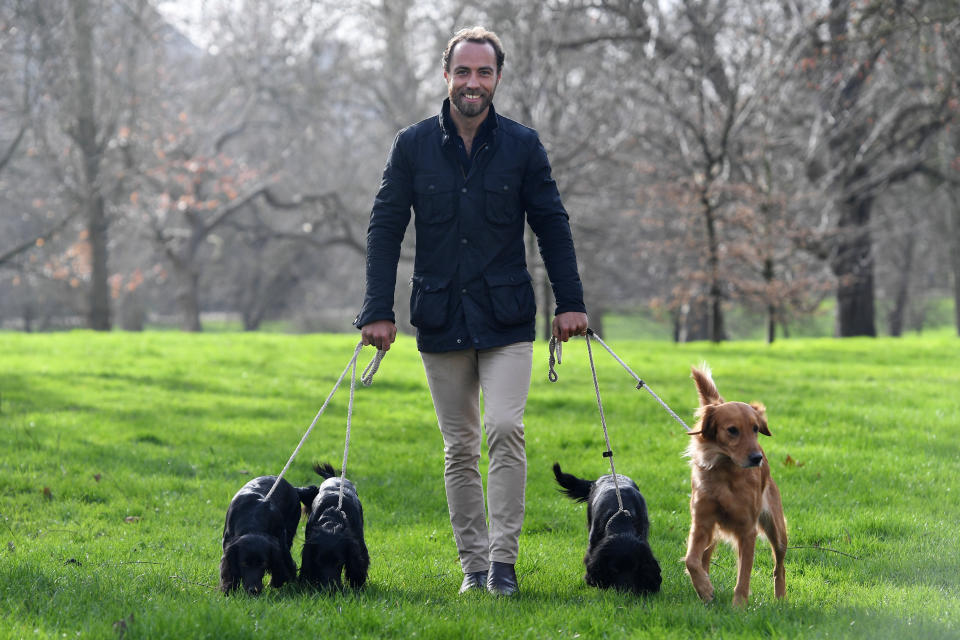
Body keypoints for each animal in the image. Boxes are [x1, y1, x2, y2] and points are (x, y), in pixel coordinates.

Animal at [684, 364, 788, 604]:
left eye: (756, 428)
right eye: (732, 430)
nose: (757, 458)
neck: (725, 474)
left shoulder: (747, 530)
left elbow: (744, 576)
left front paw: (739, 606)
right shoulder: (702, 523)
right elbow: (691, 560)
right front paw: (704, 589)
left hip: (777, 530)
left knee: (779, 567)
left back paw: (780, 599)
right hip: (713, 533)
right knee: (704, 557)